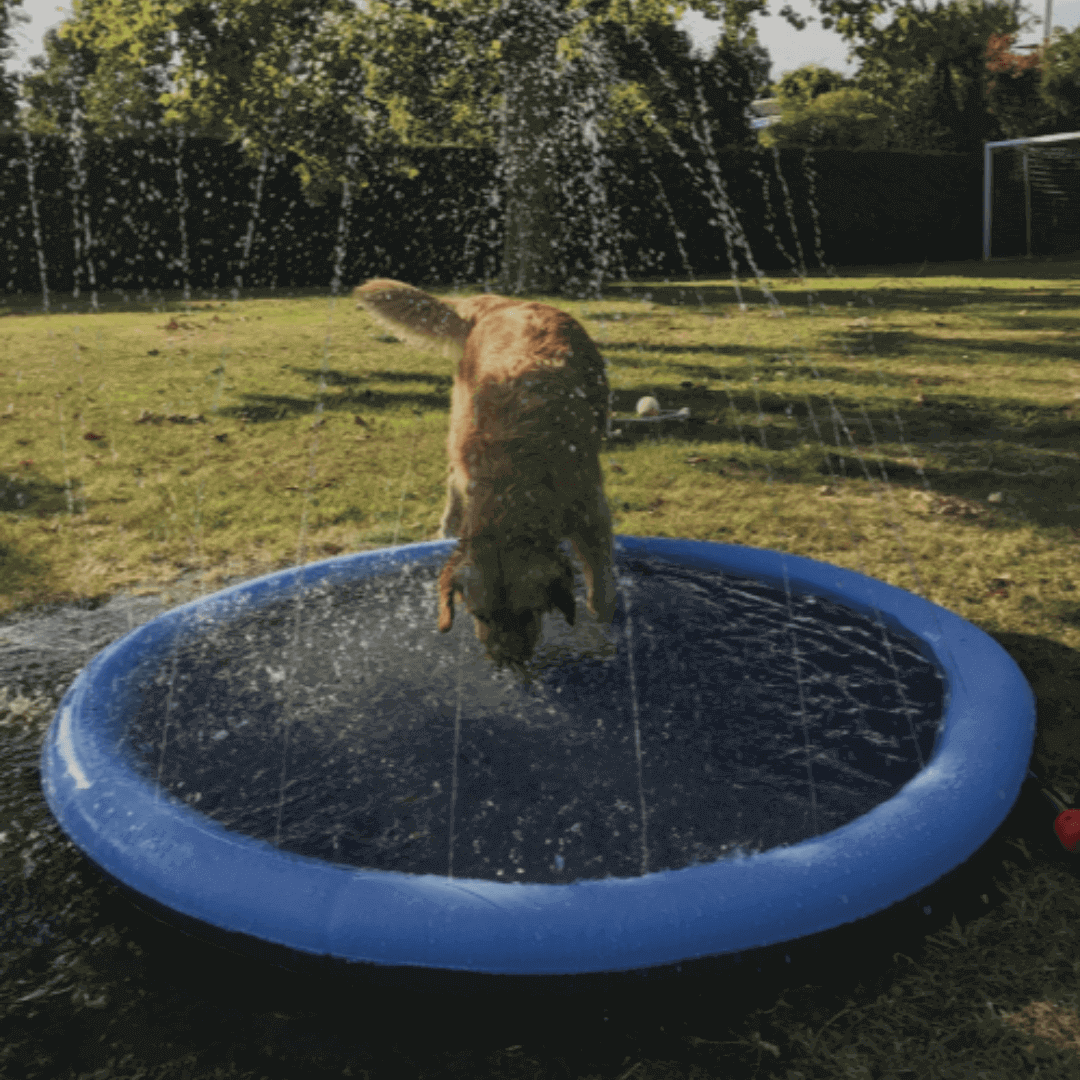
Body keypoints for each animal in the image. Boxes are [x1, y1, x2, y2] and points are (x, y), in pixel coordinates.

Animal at [349, 278, 613, 665]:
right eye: (479, 615)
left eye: (530, 612)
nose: (507, 663)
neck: (514, 475)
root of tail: (502, 303)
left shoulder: (591, 510)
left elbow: (601, 588)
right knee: (451, 479)